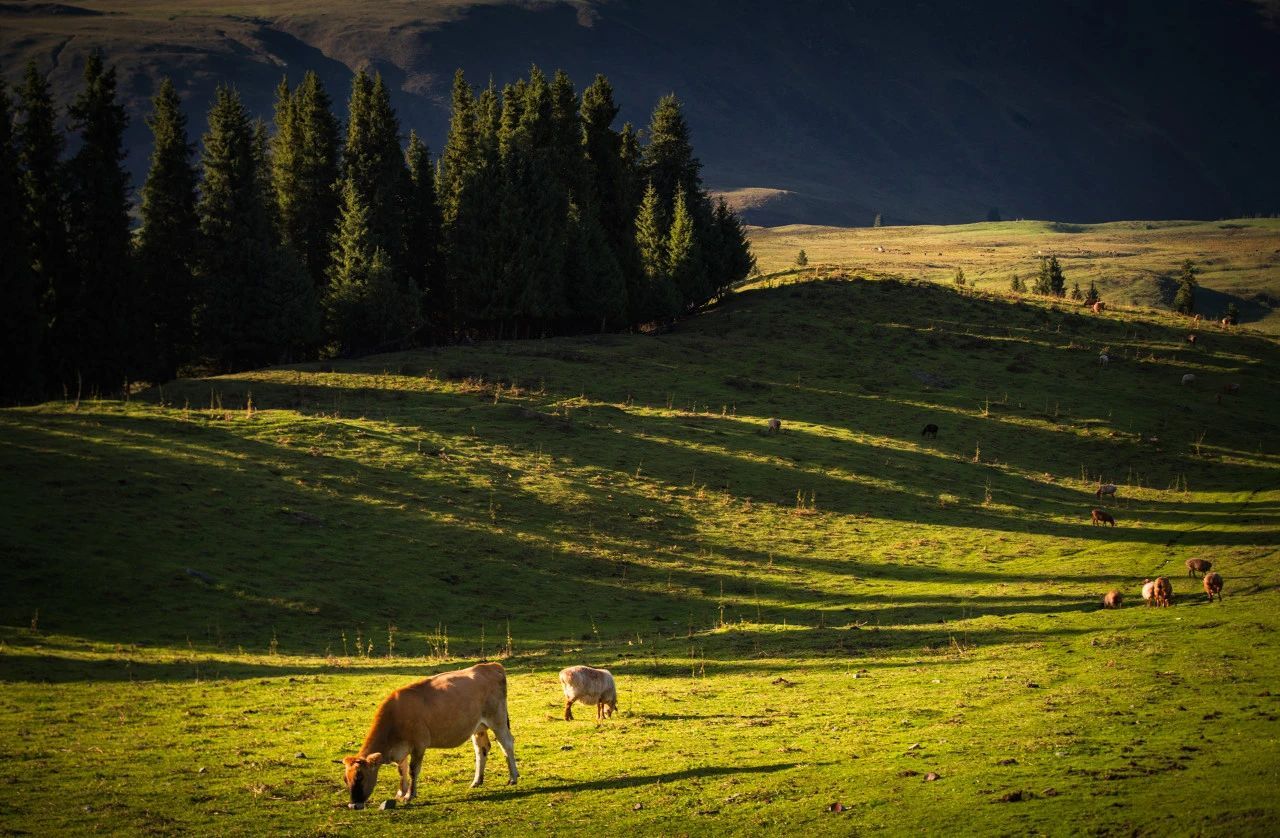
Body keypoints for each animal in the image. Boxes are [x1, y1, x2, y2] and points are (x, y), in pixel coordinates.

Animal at [345, 665, 519, 808]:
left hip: (498, 719)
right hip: (478, 727)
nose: (353, 805)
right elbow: (401, 770)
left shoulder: (419, 745)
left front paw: (409, 795)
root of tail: (491, 666)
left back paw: (513, 777)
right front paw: (401, 793)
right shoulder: (401, 750)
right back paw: (476, 781)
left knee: (507, 744)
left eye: (360, 776)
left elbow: (412, 770)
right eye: (346, 779)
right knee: (481, 749)